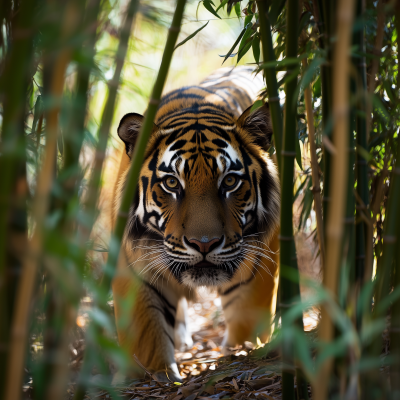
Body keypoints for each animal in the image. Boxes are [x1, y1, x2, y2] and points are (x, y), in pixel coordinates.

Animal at [109, 67, 278, 382]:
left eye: (230, 181)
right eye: (172, 183)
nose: (204, 244)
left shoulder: (258, 262)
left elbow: (247, 323)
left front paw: (241, 355)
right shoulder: (135, 266)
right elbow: (146, 340)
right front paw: (153, 376)